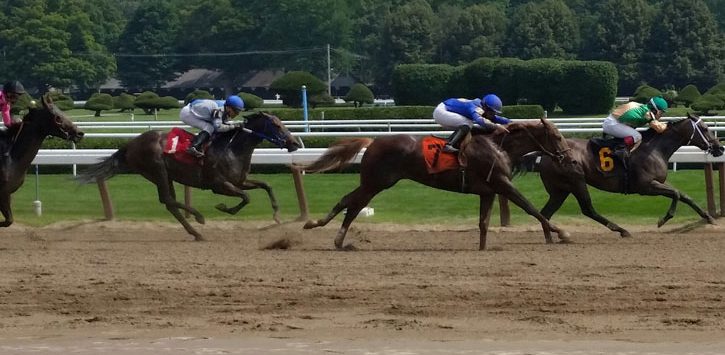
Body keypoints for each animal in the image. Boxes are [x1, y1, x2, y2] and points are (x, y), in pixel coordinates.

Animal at [0, 94, 84, 228]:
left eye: (62, 112)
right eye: (58, 118)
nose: (79, 133)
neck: (11, 156)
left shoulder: (7, 194)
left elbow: (9, 220)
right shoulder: (3, 193)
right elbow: (8, 220)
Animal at [296, 119, 576, 250]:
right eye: (556, 136)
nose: (571, 159)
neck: (500, 146)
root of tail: (373, 141)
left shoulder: (488, 190)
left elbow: (484, 223)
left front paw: (483, 248)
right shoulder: (502, 183)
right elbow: (531, 208)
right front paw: (561, 233)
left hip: (375, 182)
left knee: (351, 203)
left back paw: (331, 235)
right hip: (376, 182)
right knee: (352, 204)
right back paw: (325, 231)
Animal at [536, 112, 720, 238]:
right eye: (705, 129)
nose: (720, 148)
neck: (655, 149)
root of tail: (547, 154)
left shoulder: (656, 183)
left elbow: (684, 195)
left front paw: (709, 218)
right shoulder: (646, 187)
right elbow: (675, 193)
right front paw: (663, 220)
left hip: (561, 189)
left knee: (545, 213)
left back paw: (550, 238)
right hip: (576, 182)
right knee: (588, 209)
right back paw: (622, 230)